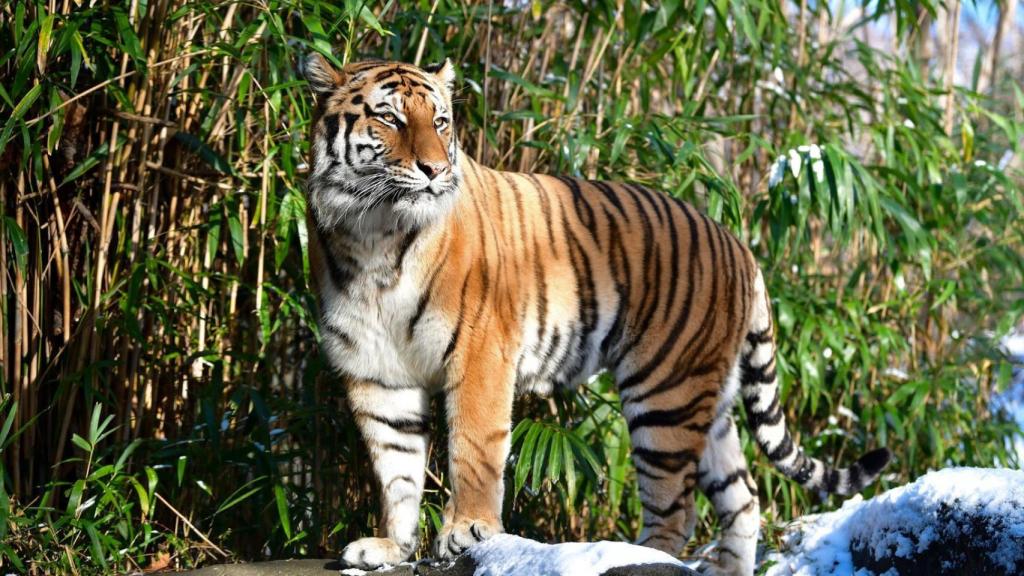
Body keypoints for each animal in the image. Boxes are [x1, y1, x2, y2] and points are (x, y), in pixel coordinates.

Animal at [302, 54, 891, 576]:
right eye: (390, 119)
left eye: (440, 121)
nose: (435, 169)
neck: (374, 234)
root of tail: (739, 244)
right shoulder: (378, 373)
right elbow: (395, 469)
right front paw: (390, 548)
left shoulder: (480, 354)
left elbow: (474, 448)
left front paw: (468, 529)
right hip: (710, 398)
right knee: (743, 498)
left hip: (665, 393)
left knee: (678, 508)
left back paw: (638, 554)